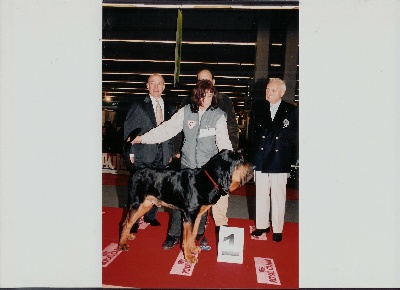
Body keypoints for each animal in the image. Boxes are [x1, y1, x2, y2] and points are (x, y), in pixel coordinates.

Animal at [117, 148, 253, 264]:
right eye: (240, 160)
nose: (253, 166)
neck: (208, 179)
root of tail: (135, 171)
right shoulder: (189, 215)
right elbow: (187, 238)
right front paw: (189, 257)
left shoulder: (197, 215)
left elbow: (193, 234)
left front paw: (193, 249)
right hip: (137, 203)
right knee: (126, 223)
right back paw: (122, 244)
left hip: (146, 205)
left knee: (127, 221)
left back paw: (128, 236)